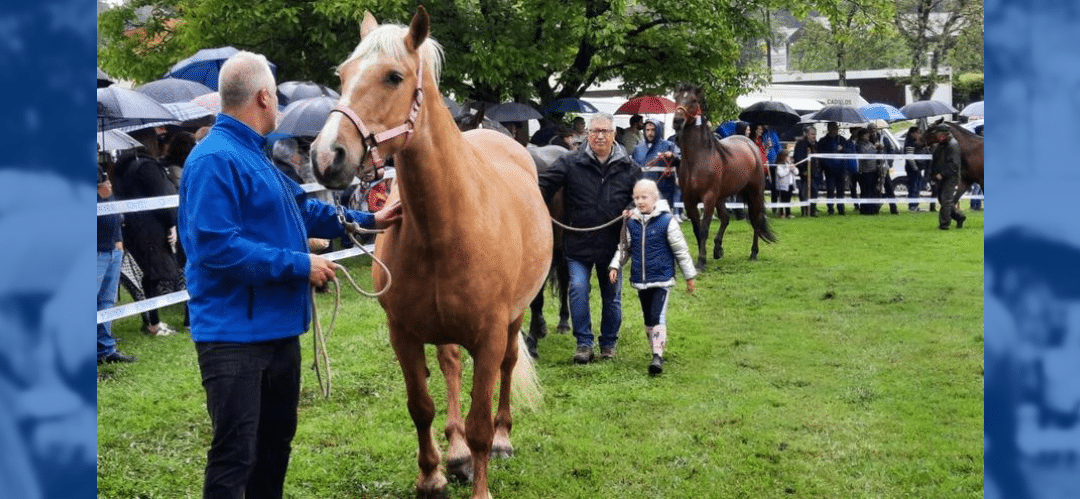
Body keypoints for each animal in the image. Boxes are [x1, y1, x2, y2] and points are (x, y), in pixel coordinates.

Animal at [311, 6, 552, 494]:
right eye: (342, 75)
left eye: (393, 76)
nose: (327, 157)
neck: (443, 227)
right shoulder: (403, 333)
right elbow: (420, 406)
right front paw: (431, 476)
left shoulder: (490, 335)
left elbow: (480, 421)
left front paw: (481, 483)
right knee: (451, 364)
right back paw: (456, 454)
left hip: (515, 318)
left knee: (507, 367)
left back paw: (502, 439)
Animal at [669, 83, 773, 268]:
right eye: (676, 98)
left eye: (693, 100)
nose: (677, 121)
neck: (698, 158)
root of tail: (751, 144)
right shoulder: (689, 200)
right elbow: (697, 229)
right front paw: (702, 257)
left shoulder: (709, 197)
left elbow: (704, 228)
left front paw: (701, 261)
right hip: (722, 196)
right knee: (725, 218)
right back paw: (718, 249)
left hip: (755, 192)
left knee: (755, 219)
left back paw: (753, 253)